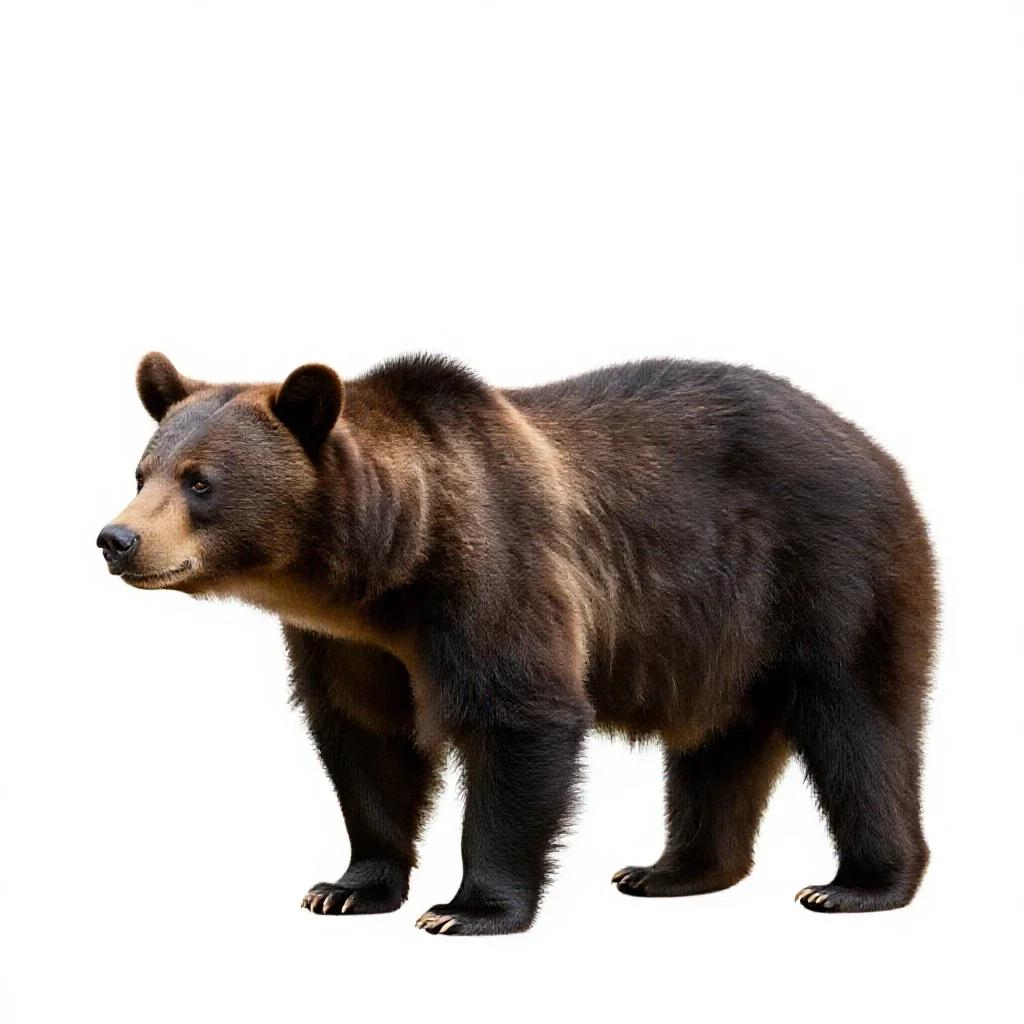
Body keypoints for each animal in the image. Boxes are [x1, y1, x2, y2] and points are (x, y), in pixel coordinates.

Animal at [97, 351, 937, 935]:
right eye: (142, 471)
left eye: (201, 481)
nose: (117, 539)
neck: (387, 573)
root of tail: (875, 447)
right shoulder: (348, 646)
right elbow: (365, 742)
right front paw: (344, 888)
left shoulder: (495, 576)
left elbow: (518, 719)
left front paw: (465, 908)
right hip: (722, 639)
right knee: (718, 749)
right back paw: (670, 871)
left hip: (828, 574)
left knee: (859, 726)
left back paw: (856, 885)